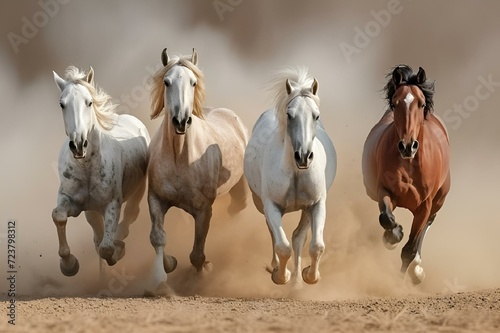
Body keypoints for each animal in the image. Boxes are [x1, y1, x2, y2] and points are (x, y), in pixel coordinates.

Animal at [53, 66, 150, 276]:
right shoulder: (72, 201)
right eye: (62, 104)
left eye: (89, 102)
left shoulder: (112, 204)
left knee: (131, 214)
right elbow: (59, 216)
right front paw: (68, 264)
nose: (78, 145)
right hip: (91, 210)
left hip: (138, 190)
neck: (87, 167)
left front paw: (118, 250)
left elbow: (106, 248)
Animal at [147, 48, 249, 290]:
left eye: (193, 82)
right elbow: (158, 237)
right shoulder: (156, 199)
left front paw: (202, 273)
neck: (180, 159)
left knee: (236, 209)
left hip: (239, 188)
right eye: (166, 82)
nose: (181, 121)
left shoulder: (203, 211)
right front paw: (164, 271)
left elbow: (197, 254)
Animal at [243, 67, 336, 286]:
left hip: (306, 210)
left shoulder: (316, 204)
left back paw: (296, 282)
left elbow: (316, 246)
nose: (303, 156)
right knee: (273, 233)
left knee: (298, 237)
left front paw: (309, 276)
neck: (295, 173)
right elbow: (282, 246)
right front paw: (280, 275)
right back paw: (278, 268)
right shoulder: (271, 205)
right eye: (289, 114)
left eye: (316, 116)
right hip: (261, 204)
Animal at [362, 65, 452, 282]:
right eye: (395, 104)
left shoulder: (424, 205)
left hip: (438, 200)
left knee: (428, 224)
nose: (407, 146)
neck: (409, 163)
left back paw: (417, 270)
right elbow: (386, 218)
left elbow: (409, 249)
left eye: (421, 104)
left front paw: (402, 280)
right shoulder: (385, 191)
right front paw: (393, 235)